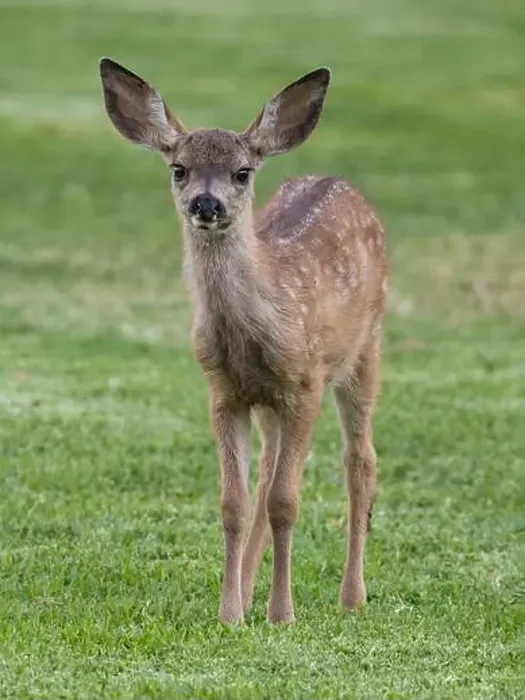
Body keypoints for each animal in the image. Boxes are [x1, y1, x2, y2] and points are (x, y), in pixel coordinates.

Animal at [99, 58, 387, 625]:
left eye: (242, 171)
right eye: (179, 168)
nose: (205, 203)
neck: (254, 330)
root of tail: (344, 184)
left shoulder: (305, 383)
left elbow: (286, 502)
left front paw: (283, 614)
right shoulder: (223, 390)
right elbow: (235, 502)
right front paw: (230, 612)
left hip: (366, 348)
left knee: (360, 462)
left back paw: (353, 597)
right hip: (271, 402)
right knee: (272, 471)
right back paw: (252, 589)